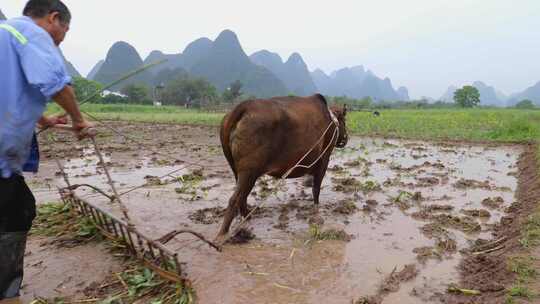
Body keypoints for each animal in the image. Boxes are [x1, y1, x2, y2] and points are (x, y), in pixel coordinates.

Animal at [216, 94, 350, 243]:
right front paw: (316, 211)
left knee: (242, 198)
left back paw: (247, 219)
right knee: (234, 200)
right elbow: (316, 190)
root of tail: (243, 107)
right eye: (344, 120)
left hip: (238, 172)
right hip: (249, 173)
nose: (345, 139)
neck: (331, 119)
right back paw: (223, 234)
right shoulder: (324, 159)